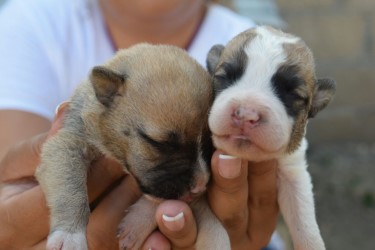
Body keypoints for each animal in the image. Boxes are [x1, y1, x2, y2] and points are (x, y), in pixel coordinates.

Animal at [36, 44, 229, 250]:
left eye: (209, 144)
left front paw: (138, 223)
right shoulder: (68, 144)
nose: (199, 187)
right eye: (159, 143)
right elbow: (71, 188)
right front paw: (70, 236)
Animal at [207, 25, 336, 250]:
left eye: (292, 95)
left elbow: (304, 223)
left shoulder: (293, 172)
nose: (246, 114)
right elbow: (213, 231)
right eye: (224, 77)